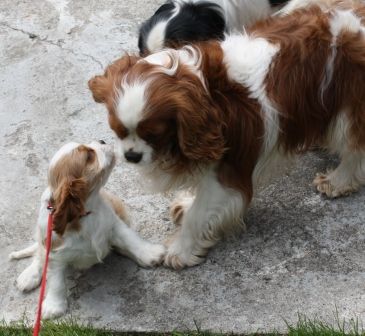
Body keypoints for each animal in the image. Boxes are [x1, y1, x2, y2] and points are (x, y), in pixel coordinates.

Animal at [9, 140, 165, 318]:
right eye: (89, 156)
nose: (102, 141)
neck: (84, 213)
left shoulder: (113, 224)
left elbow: (130, 239)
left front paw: (149, 253)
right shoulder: (55, 251)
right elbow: (56, 280)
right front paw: (54, 305)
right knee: (39, 254)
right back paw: (30, 275)